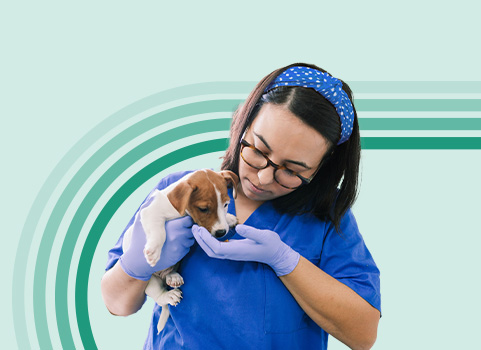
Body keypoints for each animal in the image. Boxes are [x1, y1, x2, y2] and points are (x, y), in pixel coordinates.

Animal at [122, 170, 238, 334]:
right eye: (203, 209)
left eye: (226, 204)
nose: (221, 232)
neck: (182, 213)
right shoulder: (151, 213)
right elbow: (159, 231)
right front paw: (154, 250)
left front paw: (229, 218)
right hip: (147, 281)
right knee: (159, 296)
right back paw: (169, 295)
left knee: (169, 275)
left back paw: (173, 277)